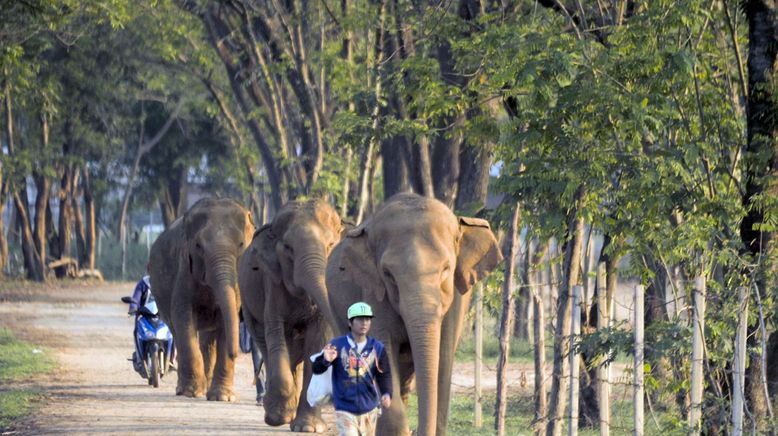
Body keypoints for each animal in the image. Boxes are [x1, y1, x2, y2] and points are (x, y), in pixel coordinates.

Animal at [148, 198, 252, 402]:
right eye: (198, 246)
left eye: (241, 244)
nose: (236, 352)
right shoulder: (184, 269)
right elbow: (183, 316)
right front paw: (191, 393)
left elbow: (228, 319)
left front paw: (223, 397)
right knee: (177, 332)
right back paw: (188, 389)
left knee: (208, 339)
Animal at [238, 198, 344, 432]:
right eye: (288, 249)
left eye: (331, 245)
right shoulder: (272, 283)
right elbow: (276, 332)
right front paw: (279, 417)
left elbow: (317, 341)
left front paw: (308, 428)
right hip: (248, 306)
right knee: (266, 345)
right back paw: (274, 409)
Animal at [322, 192, 500, 434]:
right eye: (388, 274)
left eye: (446, 269)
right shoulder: (374, 292)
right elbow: (383, 354)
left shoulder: (456, 301)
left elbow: (443, 362)